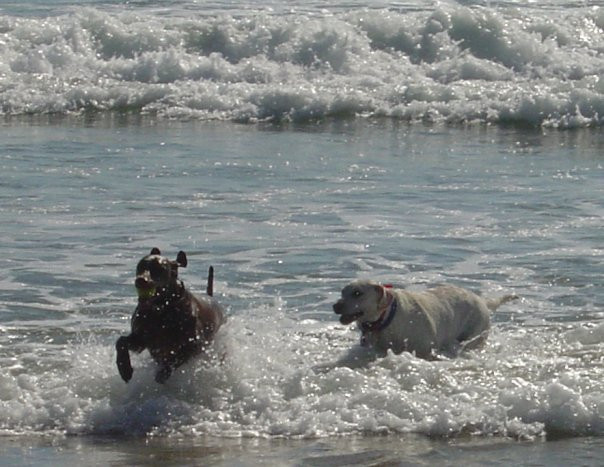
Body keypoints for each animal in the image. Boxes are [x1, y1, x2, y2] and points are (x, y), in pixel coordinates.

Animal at [115, 249, 224, 384]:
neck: (161, 309)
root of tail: (211, 297)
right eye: (140, 266)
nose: (140, 280)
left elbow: (177, 356)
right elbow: (121, 342)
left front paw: (163, 373)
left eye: (159, 269)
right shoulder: (141, 338)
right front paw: (124, 368)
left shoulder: (195, 345)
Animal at [332, 280, 516, 360]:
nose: (335, 306)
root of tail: (482, 301)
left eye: (357, 293)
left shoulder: (425, 350)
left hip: (475, 334)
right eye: (342, 292)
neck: (387, 320)